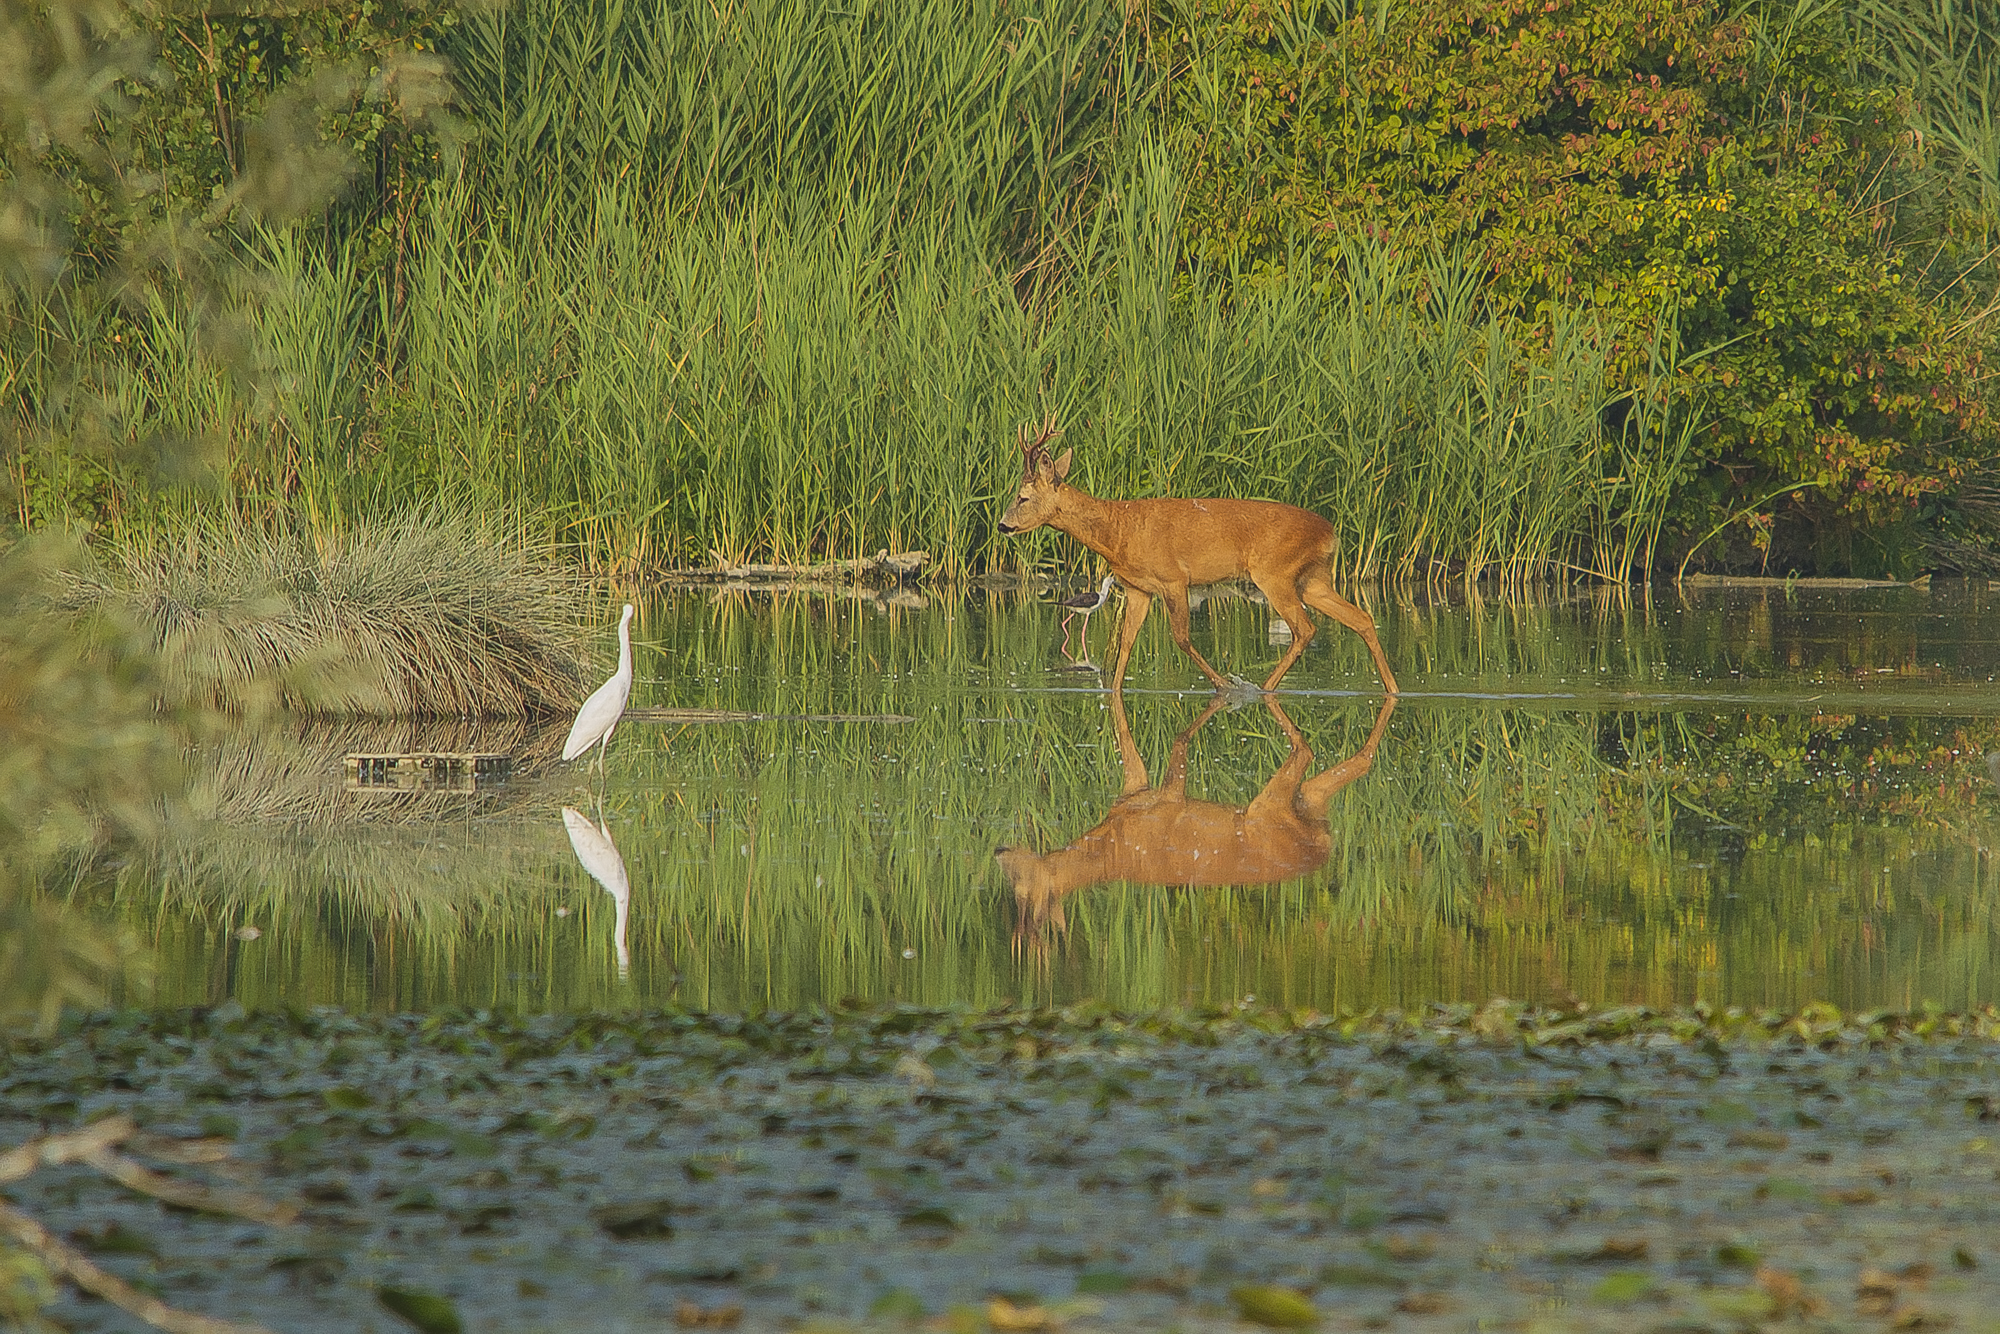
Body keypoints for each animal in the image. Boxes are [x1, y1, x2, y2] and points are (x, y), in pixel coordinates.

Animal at [996, 416, 1398, 696]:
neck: (1119, 531)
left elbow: (1182, 639)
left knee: (1306, 629)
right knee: (1362, 618)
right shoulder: (1139, 589)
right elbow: (1125, 646)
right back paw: (1392, 689)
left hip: (1275, 573)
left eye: (1022, 497)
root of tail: (1331, 532)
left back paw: (1261, 689)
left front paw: (1224, 685)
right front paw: (1113, 691)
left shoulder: (1174, 579)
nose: (1002, 525)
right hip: (1312, 579)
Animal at [997, 690, 1396, 946]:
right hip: (1307, 803)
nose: (999, 852)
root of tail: (1324, 848)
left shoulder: (1166, 800)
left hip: (1269, 808)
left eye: (1020, 883)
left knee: (1306, 752)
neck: (1109, 845)